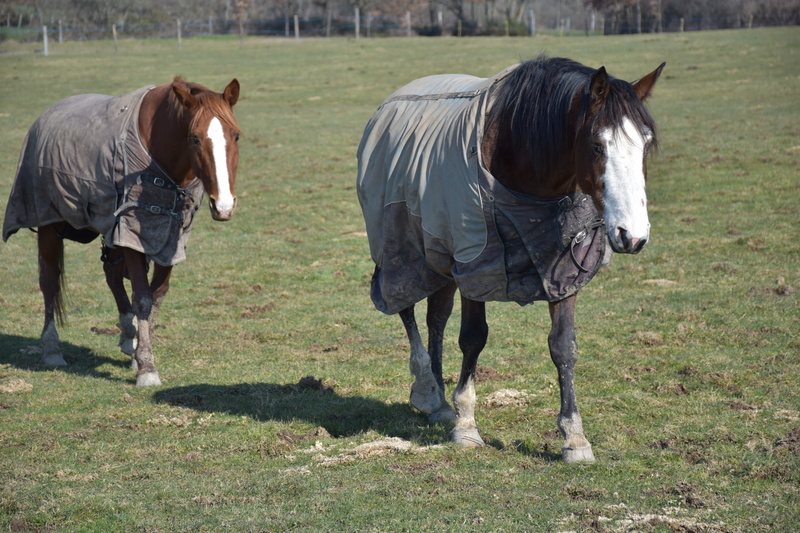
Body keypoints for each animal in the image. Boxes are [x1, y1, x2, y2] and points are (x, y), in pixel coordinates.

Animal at [3, 77, 241, 384]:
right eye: (195, 138)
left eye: (236, 136)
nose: (223, 205)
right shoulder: (130, 233)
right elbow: (143, 298)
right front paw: (147, 368)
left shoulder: (170, 238)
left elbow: (157, 296)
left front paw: (140, 351)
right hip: (48, 223)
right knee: (49, 282)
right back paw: (52, 349)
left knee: (112, 275)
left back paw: (129, 337)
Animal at [360, 56, 664, 460]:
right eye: (598, 146)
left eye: (646, 144)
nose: (633, 236)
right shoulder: (475, 261)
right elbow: (473, 338)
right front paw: (467, 426)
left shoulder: (563, 270)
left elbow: (563, 346)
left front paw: (574, 438)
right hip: (401, 249)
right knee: (405, 307)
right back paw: (426, 388)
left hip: (439, 256)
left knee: (435, 319)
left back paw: (439, 402)